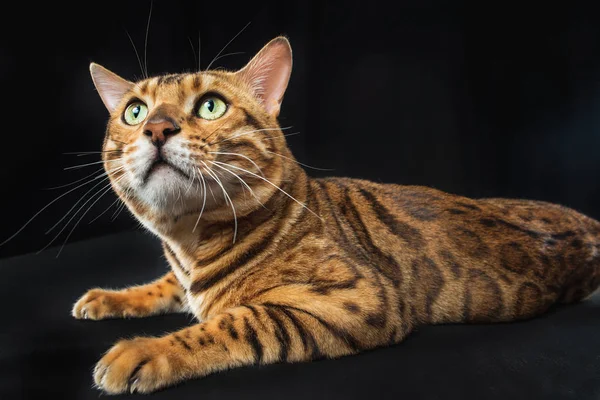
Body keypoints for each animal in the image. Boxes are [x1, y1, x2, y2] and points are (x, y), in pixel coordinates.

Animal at [71, 36, 600, 394]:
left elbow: (234, 321)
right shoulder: (183, 274)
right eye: (134, 112)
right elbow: (165, 286)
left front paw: (144, 350)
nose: (157, 127)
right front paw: (110, 297)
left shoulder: (359, 300)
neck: (191, 243)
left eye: (211, 105)